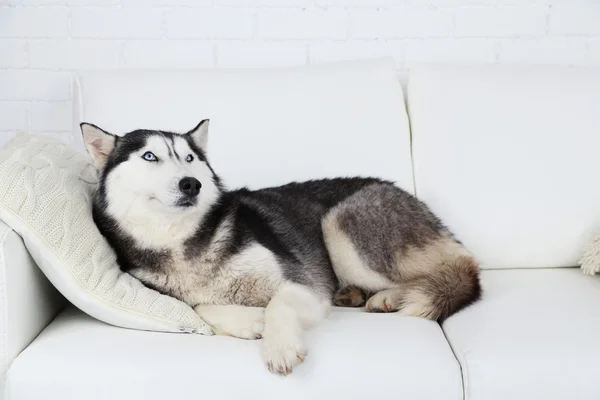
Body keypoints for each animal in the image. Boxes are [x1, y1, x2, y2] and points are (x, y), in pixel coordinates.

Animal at [81, 119, 482, 376]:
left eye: (190, 158)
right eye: (150, 157)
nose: (191, 183)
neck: (183, 240)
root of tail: (401, 191)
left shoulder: (306, 284)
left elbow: (277, 304)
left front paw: (279, 344)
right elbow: (198, 305)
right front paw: (248, 321)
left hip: (340, 224)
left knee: (454, 270)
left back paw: (389, 296)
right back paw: (355, 295)